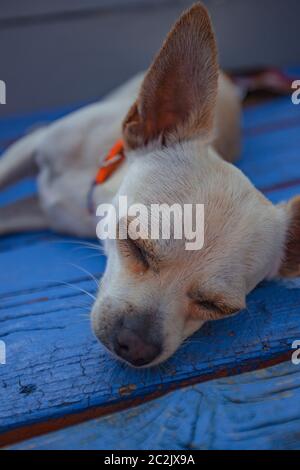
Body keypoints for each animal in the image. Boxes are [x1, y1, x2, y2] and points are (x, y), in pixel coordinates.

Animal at [0, 3, 298, 370]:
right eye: (135, 245)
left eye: (215, 307)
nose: (136, 345)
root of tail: (229, 81)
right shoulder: (27, 152)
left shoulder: (39, 213)